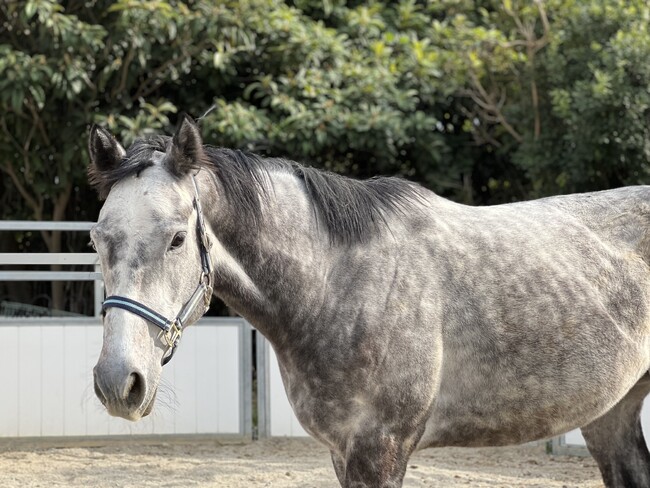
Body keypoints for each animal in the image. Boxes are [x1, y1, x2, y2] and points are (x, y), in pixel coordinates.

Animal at [88, 115, 650, 488]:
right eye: (97, 239)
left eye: (178, 239)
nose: (119, 382)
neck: (338, 284)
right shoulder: (345, 452)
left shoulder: (381, 449)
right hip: (612, 413)